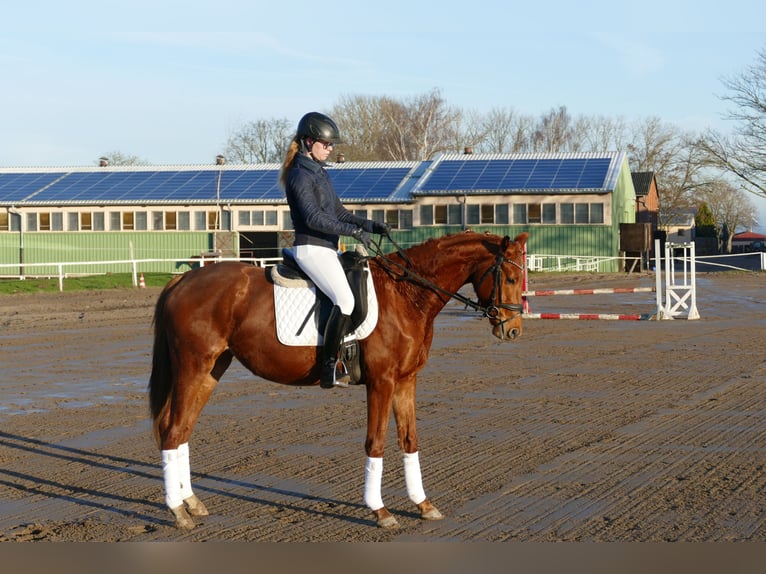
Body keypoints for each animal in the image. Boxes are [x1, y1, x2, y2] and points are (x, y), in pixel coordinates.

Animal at [149, 230, 528, 530]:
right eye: (510, 279)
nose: (512, 330)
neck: (405, 293)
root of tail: (182, 281)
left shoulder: (407, 381)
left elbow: (410, 440)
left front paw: (424, 505)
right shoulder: (382, 382)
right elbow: (376, 443)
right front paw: (380, 511)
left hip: (212, 369)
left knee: (182, 430)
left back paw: (191, 503)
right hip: (193, 367)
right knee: (172, 430)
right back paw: (178, 512)